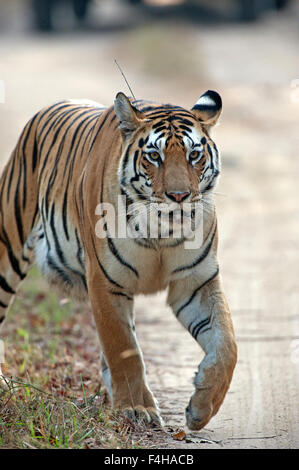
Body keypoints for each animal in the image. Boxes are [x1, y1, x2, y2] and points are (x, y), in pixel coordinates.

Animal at [0, 90, 239, 432]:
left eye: (194, 155)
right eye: (154, 156)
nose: (179, 196)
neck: (161, 232)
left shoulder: (196, 282)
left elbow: (227, 345)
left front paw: (201, 408)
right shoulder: (105, 281)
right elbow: (124, 350)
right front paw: (135, 409)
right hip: (8, 242)